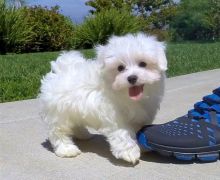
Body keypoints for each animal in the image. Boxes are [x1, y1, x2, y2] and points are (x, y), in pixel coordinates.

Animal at [39, 32, 167, 163]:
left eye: (143, 64)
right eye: (120, 68)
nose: (132, 78)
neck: (127, 95)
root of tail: (60, 70)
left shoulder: (142, 115)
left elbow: (139, 130)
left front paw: (143, 146)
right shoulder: (115, 116)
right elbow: (123, 133)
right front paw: (130, 152)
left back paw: (83, 134)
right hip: (58, 113)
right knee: (58, 131)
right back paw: (66, 149)